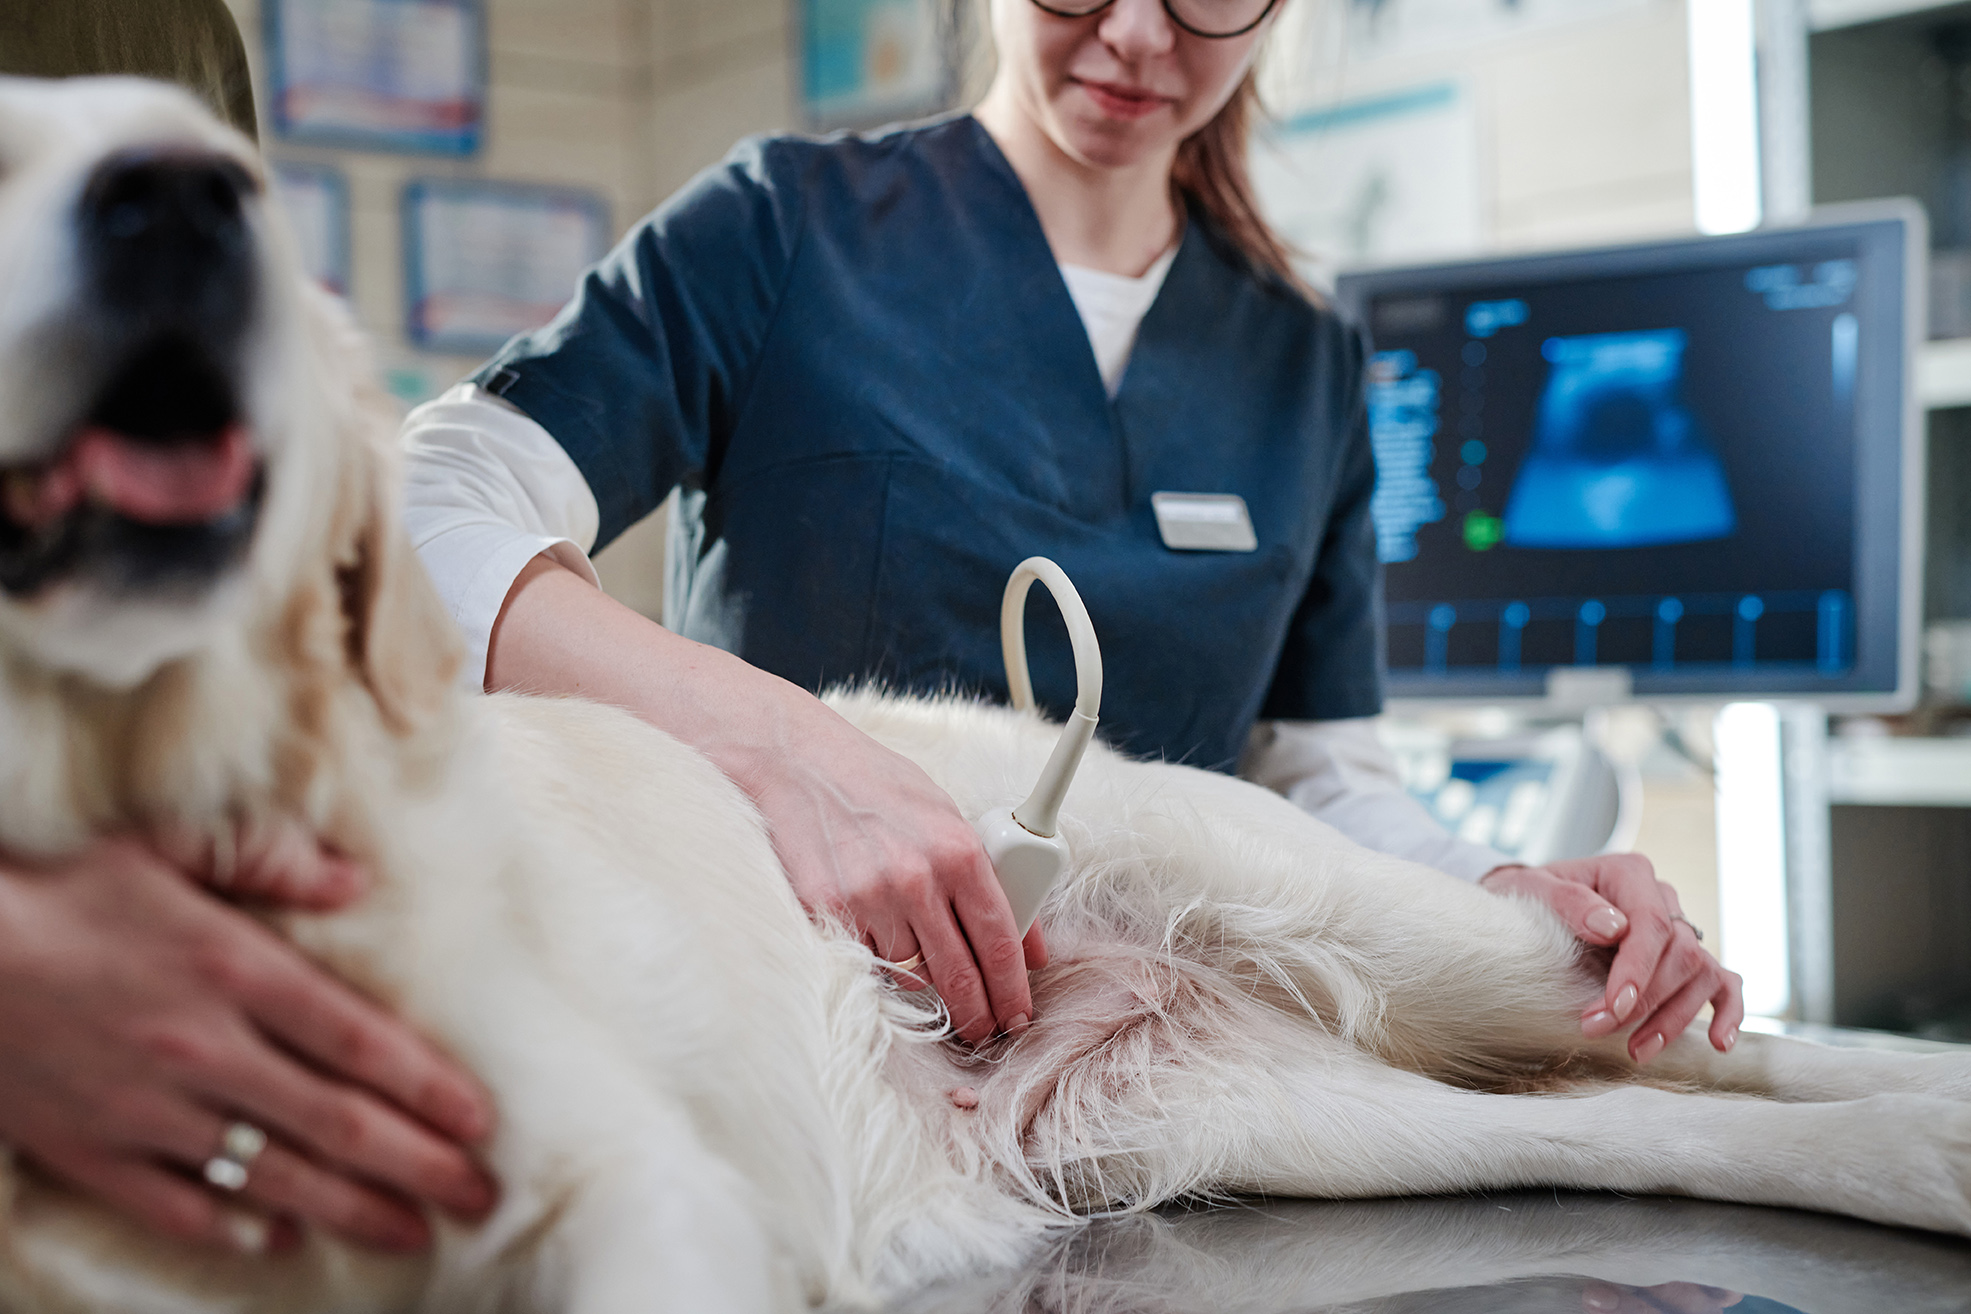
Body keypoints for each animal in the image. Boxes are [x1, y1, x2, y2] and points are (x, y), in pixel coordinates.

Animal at [3, 74, 1971, 1314]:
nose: (166, 225)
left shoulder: (625, 1172)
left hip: (1372, 911)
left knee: (1693, 1020)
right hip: (1255, 1115)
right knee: (1632, 1110)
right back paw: (1917, 1151)